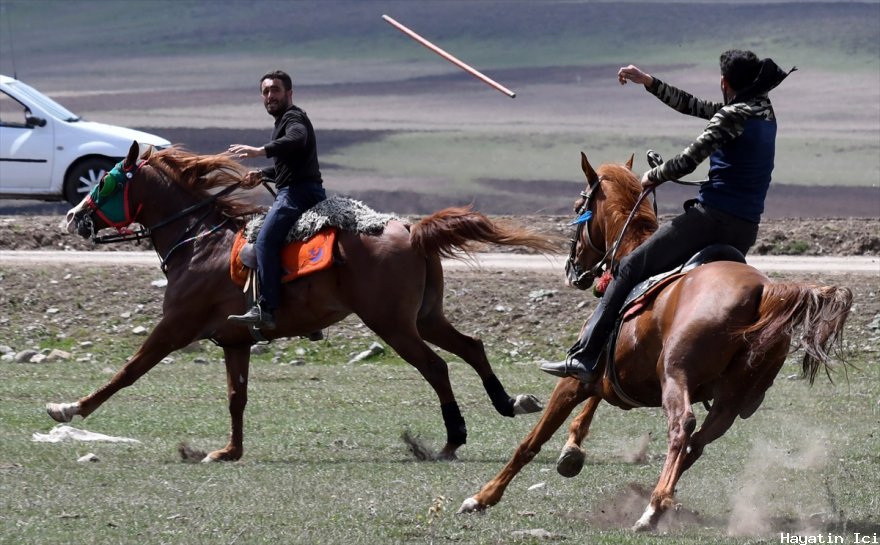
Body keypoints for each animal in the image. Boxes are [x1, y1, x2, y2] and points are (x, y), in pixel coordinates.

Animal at [51, 142, 552, 462]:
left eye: (106, 182)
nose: (72, 217)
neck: (200, 242)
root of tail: (411, 229)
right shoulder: (235, 341)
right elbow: (237, 396)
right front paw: (228, 451)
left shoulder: (174, 328)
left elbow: (126, 372)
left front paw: (69, 409)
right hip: (426, 317)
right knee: (470, 347)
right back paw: (508, 402)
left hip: (393, 324)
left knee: (436, 367)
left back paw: (451, 440)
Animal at [460, 152, 852, 532]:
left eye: (577, 207)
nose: (573, 270)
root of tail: (762, 290)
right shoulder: (611, 375)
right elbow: (592, 405)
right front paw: (571, 453)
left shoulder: (574, 380)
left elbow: (532, 440)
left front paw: (482, 497)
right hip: (732, 401)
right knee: (697, 444)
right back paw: (661, 501)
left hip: (676, 377)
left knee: (683, 428)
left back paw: (651, 511)